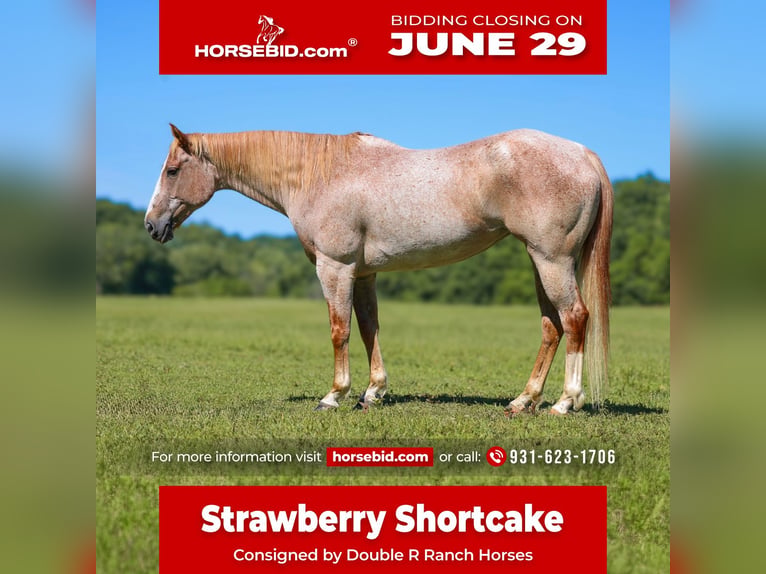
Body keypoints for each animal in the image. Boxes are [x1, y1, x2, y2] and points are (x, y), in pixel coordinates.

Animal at [145, 125, 612, 415]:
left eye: (172, 170)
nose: (151, 225)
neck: (320, 174)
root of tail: (583, 154)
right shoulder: (363, 273)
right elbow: (369, 328)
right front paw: (372, 392)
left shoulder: (335, 269)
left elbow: (340, 331)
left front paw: (334, 395)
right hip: (541, 262)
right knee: (552, 326)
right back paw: (523, 401)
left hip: (552, 261)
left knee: (574, 319)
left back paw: (565, 402)